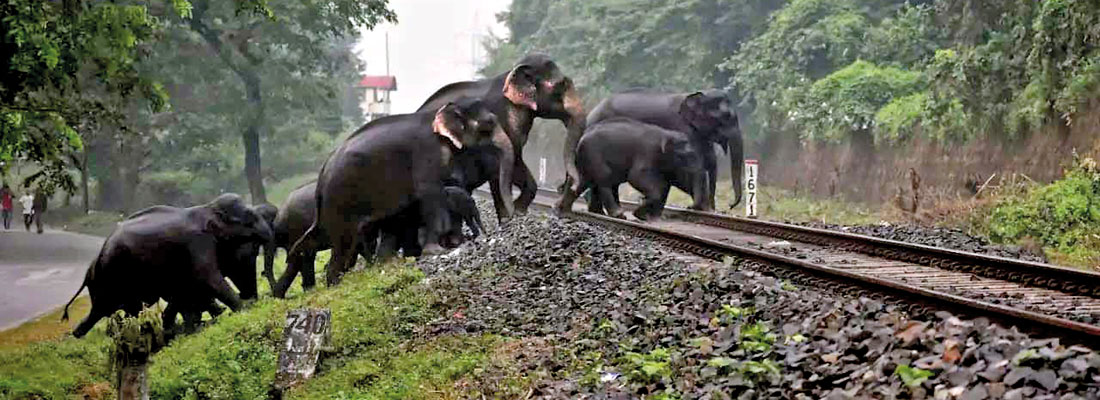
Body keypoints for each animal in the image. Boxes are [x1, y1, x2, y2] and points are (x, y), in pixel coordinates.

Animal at [61, 193, 274, 338]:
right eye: (249, 217)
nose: (252, 299)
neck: (208, 208)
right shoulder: (197, 243)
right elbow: (208, 277)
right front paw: (242, 310)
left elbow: (189, 288)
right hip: (115, 275)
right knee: (118, 309)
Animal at [289, 97, 500, 286]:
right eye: (488, 124)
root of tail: (321, 179)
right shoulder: (426, 154)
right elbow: (430, 194)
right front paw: (437, 251)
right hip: (339, 204)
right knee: (344, 248)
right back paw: (335, 283)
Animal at [417, 53, 587, 219]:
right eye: (561, 86)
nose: (560, 187)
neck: (512, 73)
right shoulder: (503, 115)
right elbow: (511, 160)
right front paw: (514, 213)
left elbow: (513, 156)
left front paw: (516, 211)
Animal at [558, 118, 709, 221]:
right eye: (686, 157)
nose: (689, 207)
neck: (666, 133)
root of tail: (581, 138)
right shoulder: (647, 153)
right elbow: (636, 177)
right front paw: (641, 213)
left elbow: (664, 186)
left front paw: (651, 217)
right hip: (594, 155)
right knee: (604, 181)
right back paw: (618, 214)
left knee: (584, 181)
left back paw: (562, 209)